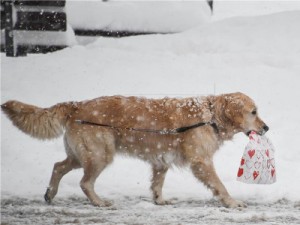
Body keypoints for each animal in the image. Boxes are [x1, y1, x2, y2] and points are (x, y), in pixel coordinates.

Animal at [1, 92, 268, 208]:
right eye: (253, 112)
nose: (266, 127)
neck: (210, 116)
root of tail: (76, 105)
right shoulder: (201, 161)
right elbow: (219, 185)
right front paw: (232, 202)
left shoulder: (161, 159)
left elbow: (157, 183)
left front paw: (160, 200)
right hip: (100, 154)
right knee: (85, 182)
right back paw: (99, 202)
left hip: (80, 155)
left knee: (58, 166)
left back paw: (50, 194)